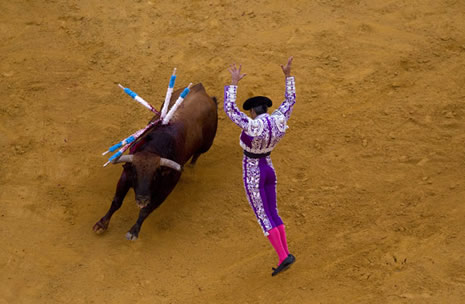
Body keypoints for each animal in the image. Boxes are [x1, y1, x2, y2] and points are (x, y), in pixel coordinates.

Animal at [95, 83, 218, 240]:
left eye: (154, 176)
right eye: (135, 174)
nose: (142, 200)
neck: (153, 150)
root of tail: (202, 89)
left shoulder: (165, 189)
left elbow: (146, 210)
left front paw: (133, 231)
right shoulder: (126, 175)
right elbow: (117, 201)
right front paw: (101, 224)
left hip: (207, 144)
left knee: (197, 155)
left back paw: (191, 168)